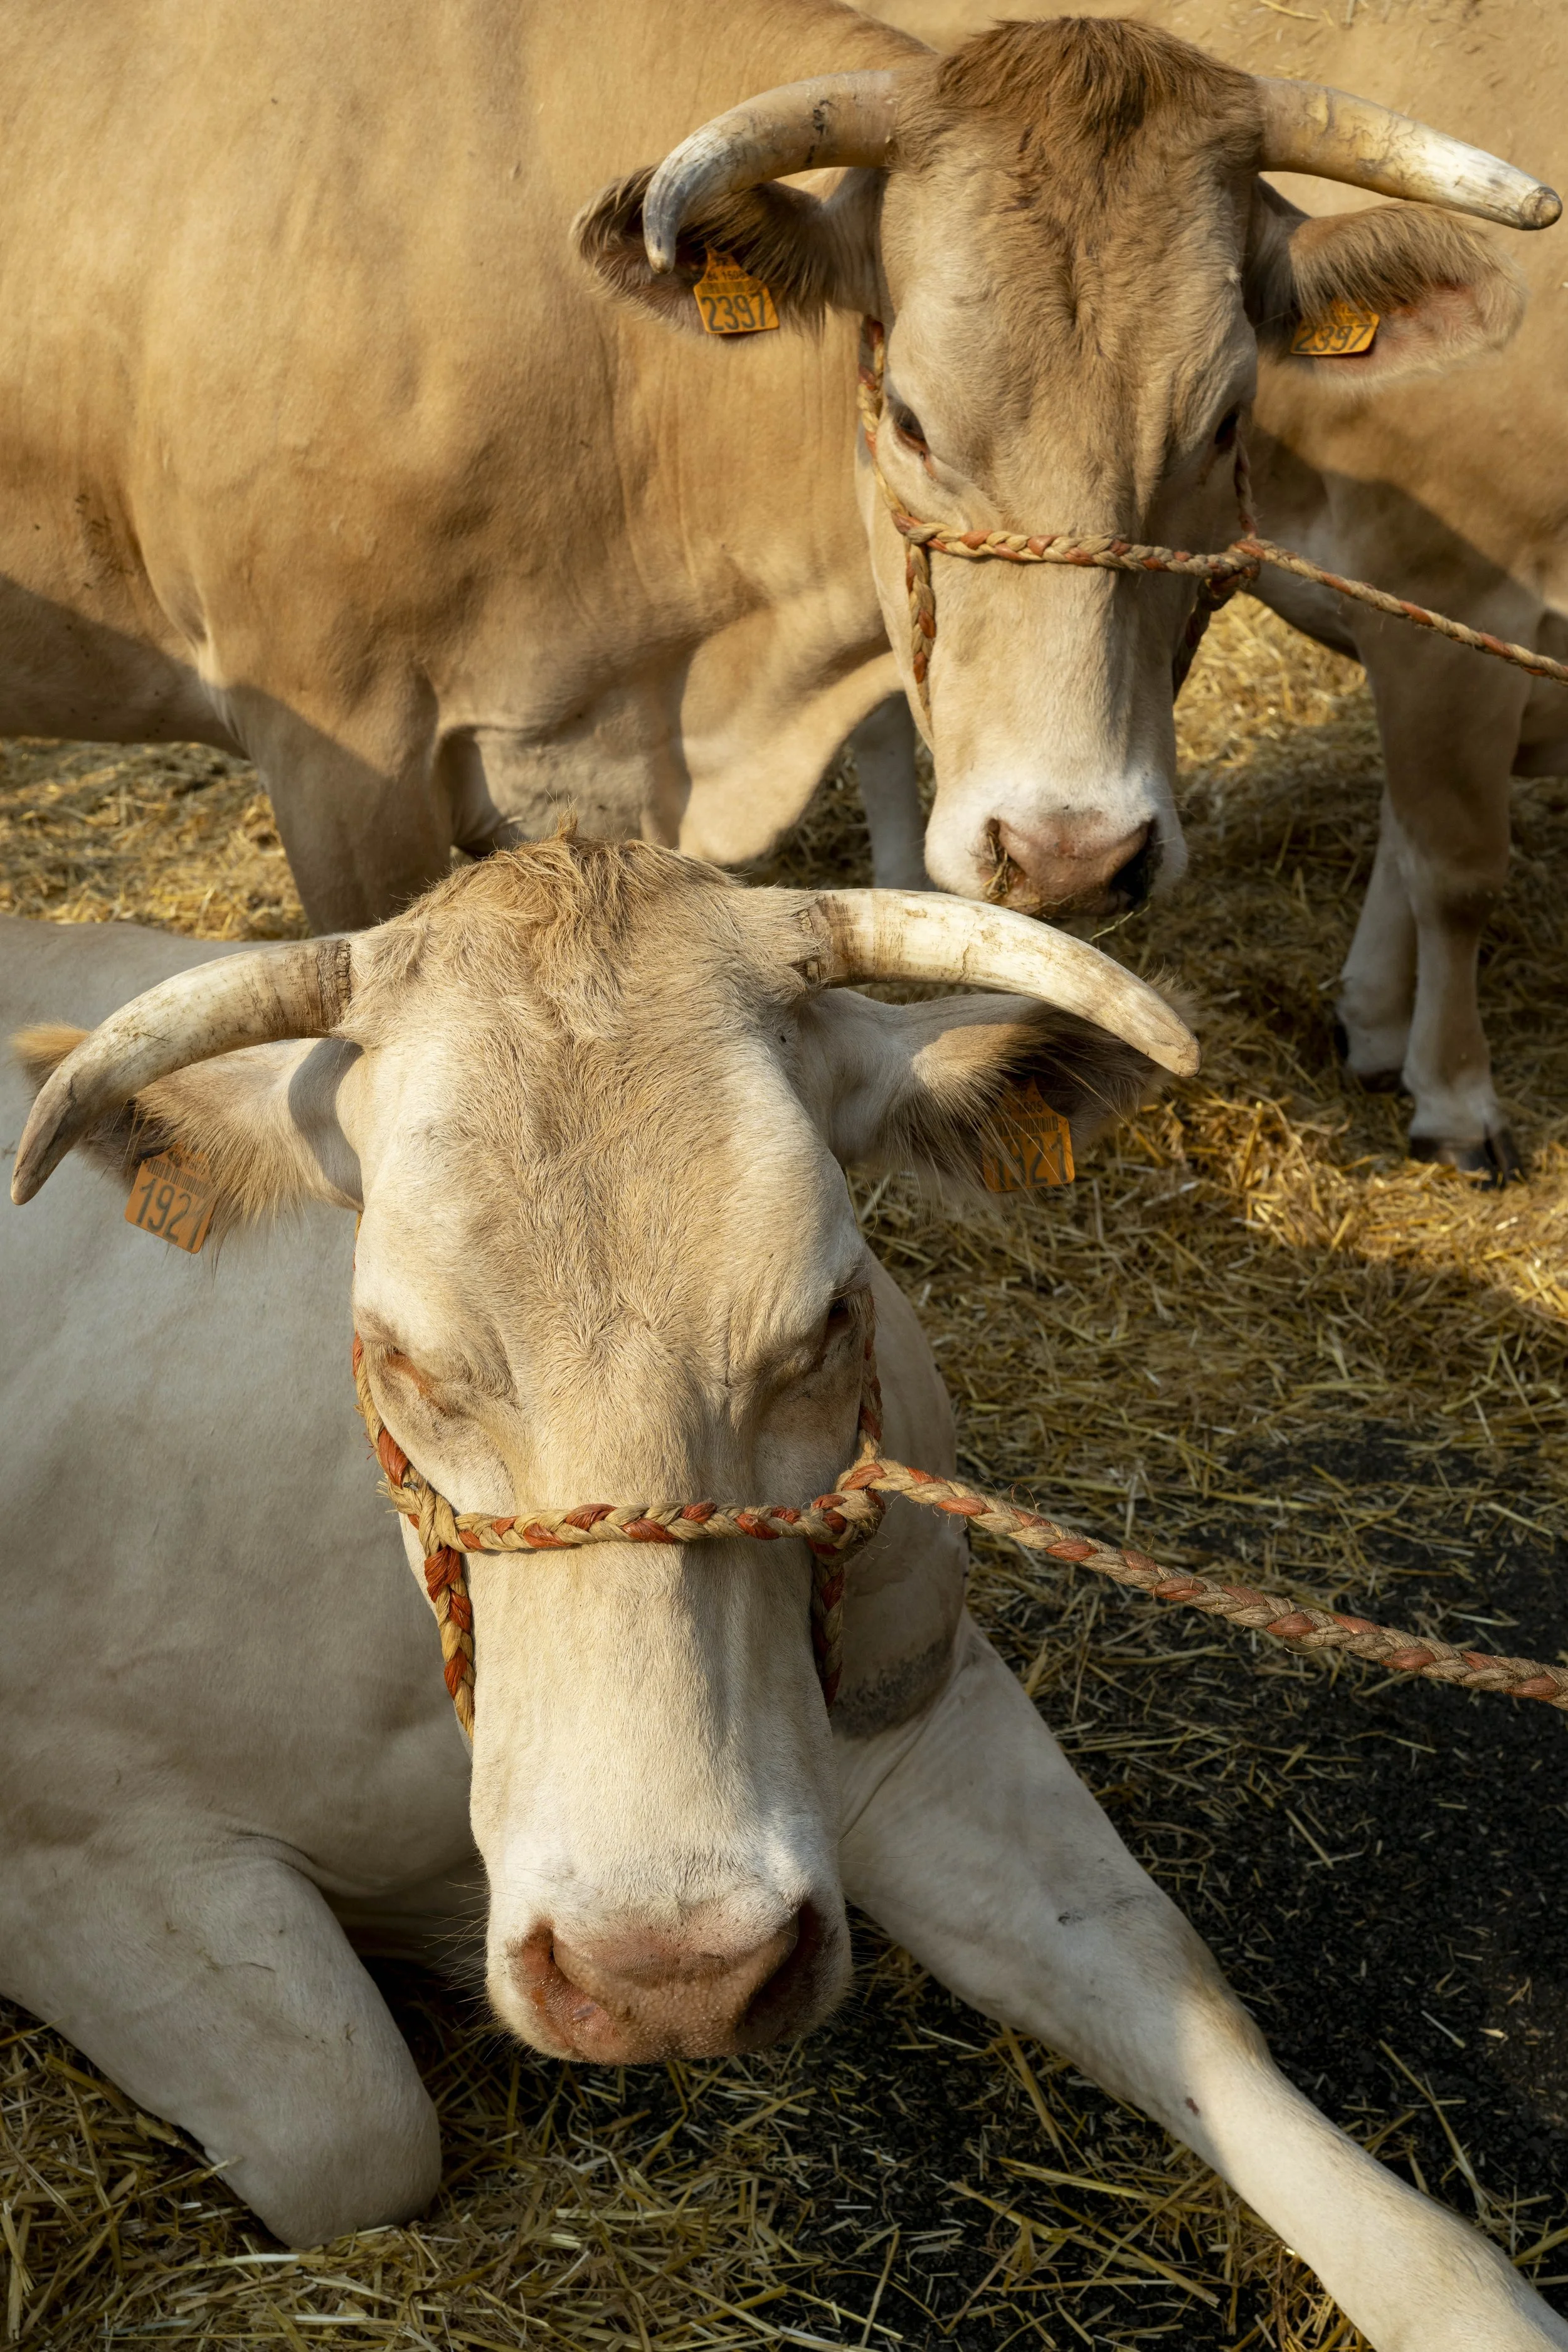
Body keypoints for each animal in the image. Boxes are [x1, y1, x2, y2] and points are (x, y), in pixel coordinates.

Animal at [4, 846, 1566, 2351]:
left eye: (828, 1314)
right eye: (397, 1354)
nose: (668, 1971)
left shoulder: (915, 1705)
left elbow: (1168, 1982)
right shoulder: (75, 1844)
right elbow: (351, 2133)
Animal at [861, 0, 1567, 1181]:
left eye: (1232, 417)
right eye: (908, 420)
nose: (1072, 854)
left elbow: (1403, 829)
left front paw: (1372, 1022)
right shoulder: (1454, 600)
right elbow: (1455, 865)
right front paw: (1456, 1097)